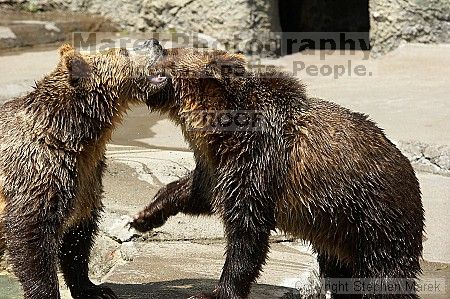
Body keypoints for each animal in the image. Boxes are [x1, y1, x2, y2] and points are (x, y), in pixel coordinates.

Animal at [0, 39, 167, 299]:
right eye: (123, 52)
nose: (155, 42)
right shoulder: (36, 169)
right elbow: (30, 232)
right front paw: (46, 291)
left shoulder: (87, 174)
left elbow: (78, 234)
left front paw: (95, 289)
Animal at [131, 48, 426, 298]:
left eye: (169, 51)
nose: (155, 44)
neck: (219, 129)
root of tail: (408, 169)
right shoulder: (217, 165)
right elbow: (197, 191)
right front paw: (143, 216)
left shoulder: (259, 160)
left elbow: (247, 232)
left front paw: (217, 291)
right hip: (339, 231)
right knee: (339, 271)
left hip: (375, 219)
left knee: (383, 275)